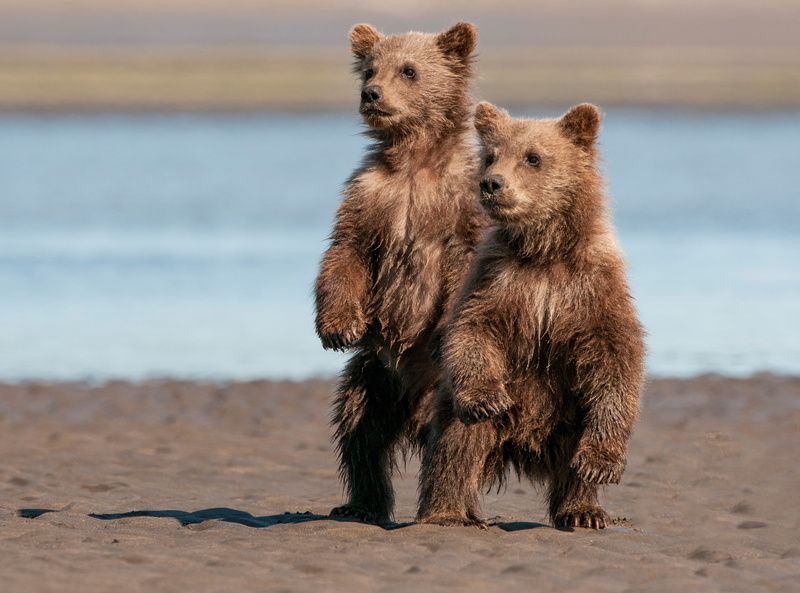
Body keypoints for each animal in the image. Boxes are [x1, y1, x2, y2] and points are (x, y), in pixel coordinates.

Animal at [314, 22, 486, 525]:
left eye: (408, 70)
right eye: (371, 68)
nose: (372, 93)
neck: (415, 159)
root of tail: (413, 412)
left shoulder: (461, 205)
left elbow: (466, 268)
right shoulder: (371, 196)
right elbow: (345, 253)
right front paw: (337, 326)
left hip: (451, 388)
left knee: (457, 439)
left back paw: (447, 511)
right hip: (374, 375)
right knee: (359, 431)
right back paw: (360, 504)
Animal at [416, 102, 645, 530]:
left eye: (533, 157)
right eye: (490, 155)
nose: (491, 183)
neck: (543, 252)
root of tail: (522, 446)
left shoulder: (591, 287)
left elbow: (616, 357)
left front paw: (601, 463)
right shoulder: (497, 281)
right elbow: (471, 330)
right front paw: (486, 398)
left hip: (568, 413)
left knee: (574, 451)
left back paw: (583, 510)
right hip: (473, 413)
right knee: (455, 445)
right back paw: (448, 512)